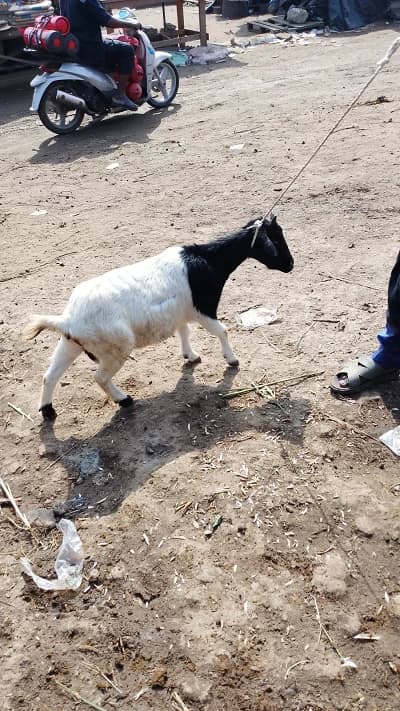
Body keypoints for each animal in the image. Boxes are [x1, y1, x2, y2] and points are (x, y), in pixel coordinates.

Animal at [24, 216, 293, 419]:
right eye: (275, 238)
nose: (291, 264)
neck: (208, 260)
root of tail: (68, 320)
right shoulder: (204, 309)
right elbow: (222, 331)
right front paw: (232, 359)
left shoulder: (182, 312)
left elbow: (184, 331)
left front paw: (191, 356)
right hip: (116, 347)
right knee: (100, 377)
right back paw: (124, 400)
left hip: (71, 343)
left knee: (50, 375)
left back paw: (48, 411)